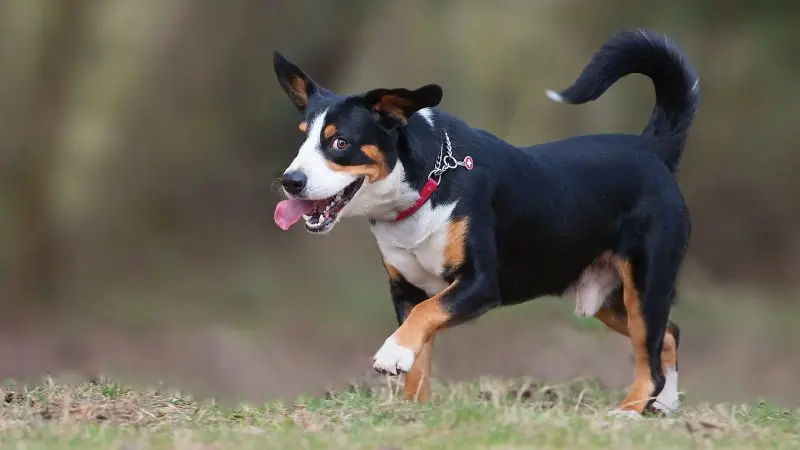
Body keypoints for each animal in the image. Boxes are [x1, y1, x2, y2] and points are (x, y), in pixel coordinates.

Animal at [272, 27, 696, 414]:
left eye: (340, 142)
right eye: (302, 139)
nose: (290, 181)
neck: (422, 191)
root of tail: (651, 149)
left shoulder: (479, 283)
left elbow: (425, 317)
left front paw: (393, 353)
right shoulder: (407, 289)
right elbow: (419, 357)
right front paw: (413, 407)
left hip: (644, 283)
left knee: (652, 362)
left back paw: (627, 412)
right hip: (609, 298)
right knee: (669, 335)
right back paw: (666, 404)